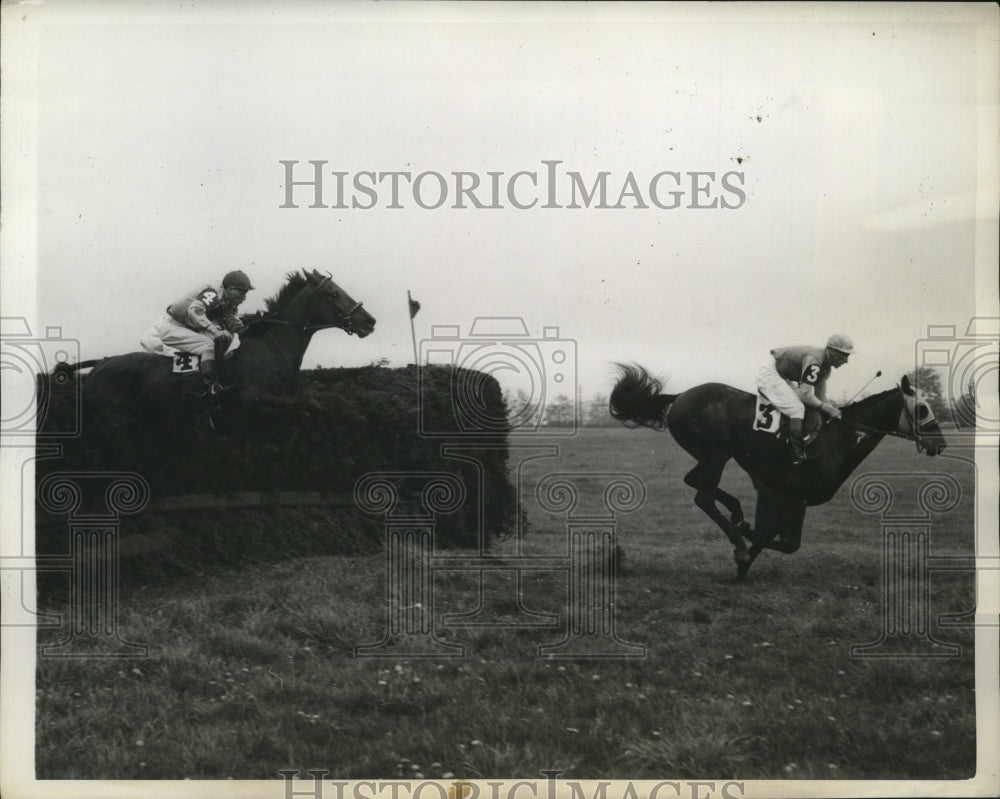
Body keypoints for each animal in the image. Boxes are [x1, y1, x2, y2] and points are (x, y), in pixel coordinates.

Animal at [608, 364, 944, 580]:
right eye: (923, 408)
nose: (940, 442)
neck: (838, 439)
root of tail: (679, 396)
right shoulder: (794, 495)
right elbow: (785, 541)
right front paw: (744, 548)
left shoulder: (787, 495)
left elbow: (777, 538)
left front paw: (744, 562)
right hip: (716, 454)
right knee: (703, 496)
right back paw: (738, 537)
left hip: (708, 455)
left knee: (694, 481)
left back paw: (736, 511)